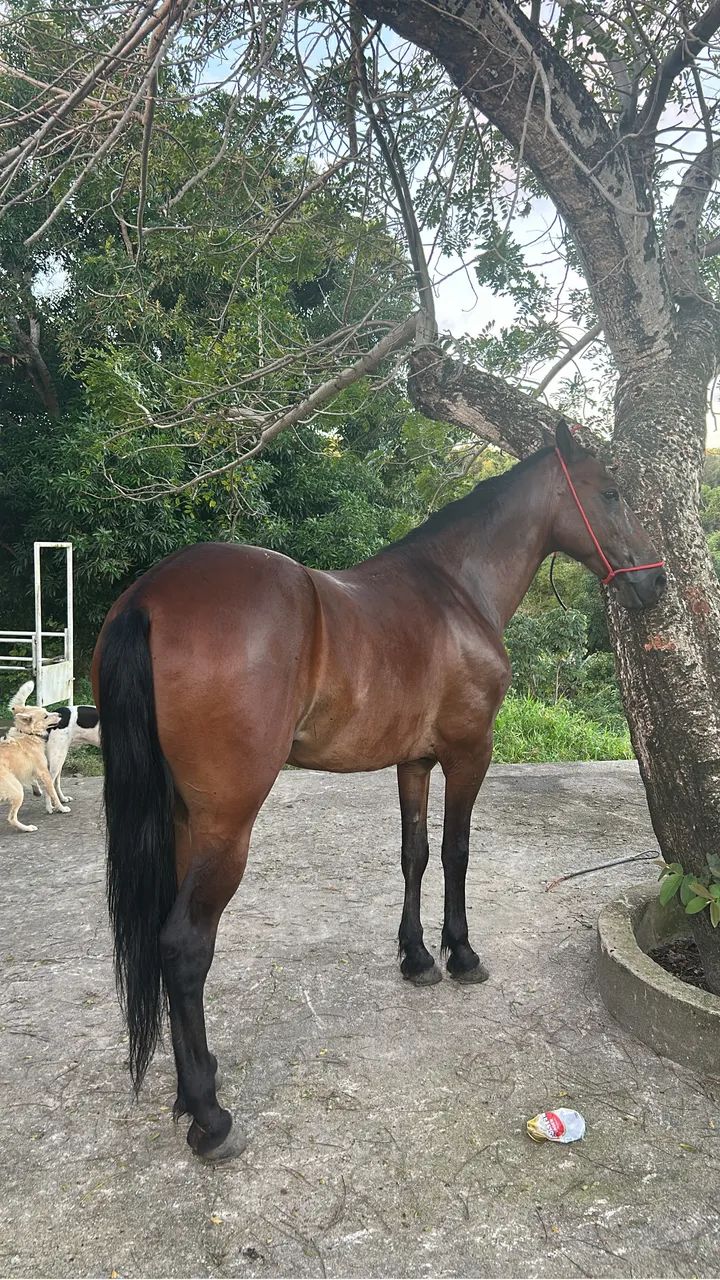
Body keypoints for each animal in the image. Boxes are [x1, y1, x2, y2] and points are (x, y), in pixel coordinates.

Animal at [92, 422, 666, 1162]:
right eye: (611, 490)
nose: (655, 581)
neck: (455, 589)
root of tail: (148, 598)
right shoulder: (469, 754)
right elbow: (456, 854)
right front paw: (461, 955)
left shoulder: (414, 762)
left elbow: (413, 856)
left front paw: (417, 958)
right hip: (226, 823)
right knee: (185, 946)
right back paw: (210, 1116)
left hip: (187, 819)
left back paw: (195, 1086)